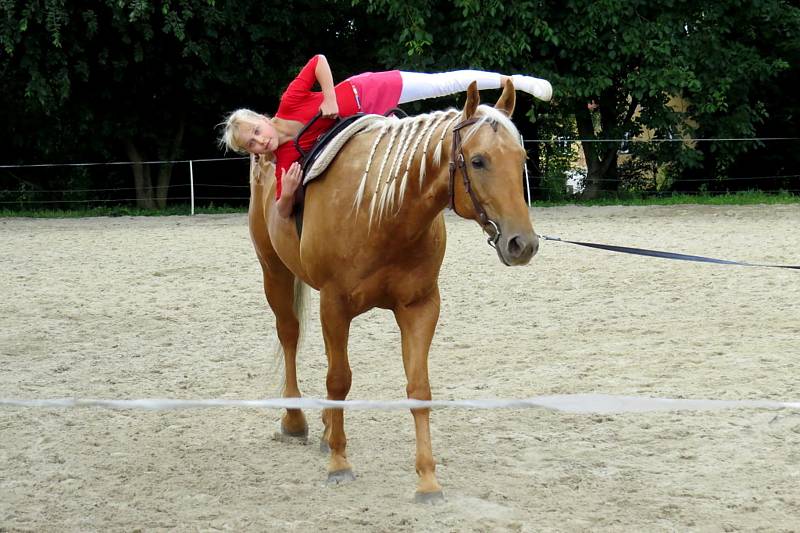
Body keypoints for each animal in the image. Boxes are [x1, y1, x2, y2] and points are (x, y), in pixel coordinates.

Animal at [250, 81, 536, 500]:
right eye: (479, 161)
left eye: (521, 158)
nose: (523, 243)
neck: (383, 210)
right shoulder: (334, 303)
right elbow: (338, 380)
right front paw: (339, 462)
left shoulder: (420, 306)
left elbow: (418, 388)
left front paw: (428, 480)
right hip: (274, 271)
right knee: (289, 335)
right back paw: (296, 420)